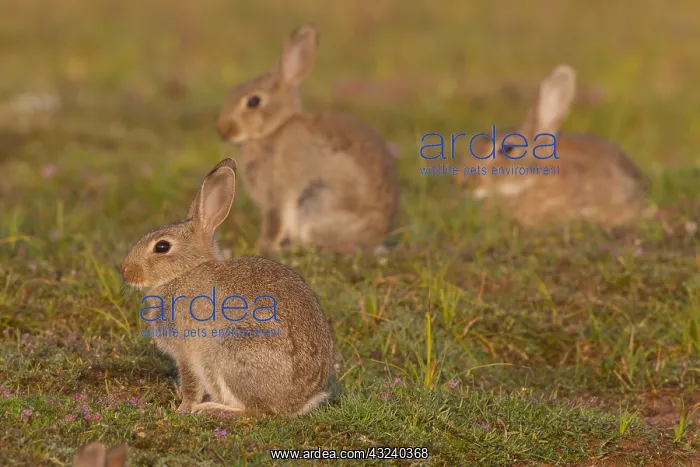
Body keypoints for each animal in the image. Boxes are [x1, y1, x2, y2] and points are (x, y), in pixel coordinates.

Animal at [120, 158, 335, 416]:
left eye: (162, 247)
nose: (125, 270)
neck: (184, 272)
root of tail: (300, 402)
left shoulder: (187, 352)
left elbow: (191, 384)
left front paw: (183, 409)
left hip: (229, 352)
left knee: (258, 411)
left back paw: (210, 408)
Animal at [216, 24, 399, 254]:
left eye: (254, 101)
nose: (223, 131)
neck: (274, 129)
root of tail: (376, 238)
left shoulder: (276, 191)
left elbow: (274, 221)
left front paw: (263, 247)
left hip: (316, 201)